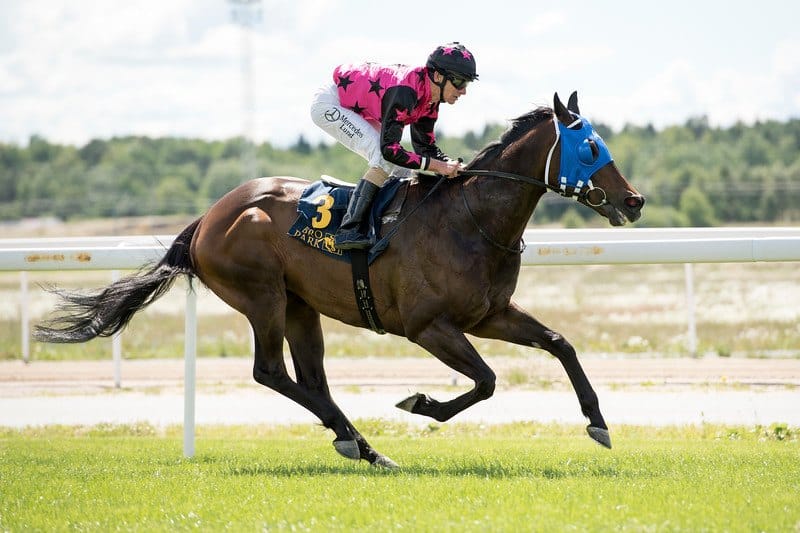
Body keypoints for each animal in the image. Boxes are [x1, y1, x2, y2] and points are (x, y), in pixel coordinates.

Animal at [36, 93, 644, 468]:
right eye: (591, 147)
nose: (634, 200)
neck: (469, 217)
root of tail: (208, 218)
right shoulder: (428, 326)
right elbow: (488, 380)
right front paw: (421, 404)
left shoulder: (489, 314)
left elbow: (560, 344)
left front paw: (598, 422)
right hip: (263, 296)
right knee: (270, 372)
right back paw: (359, 441)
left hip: (301, 306)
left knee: (312, 379)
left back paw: (361, 445)